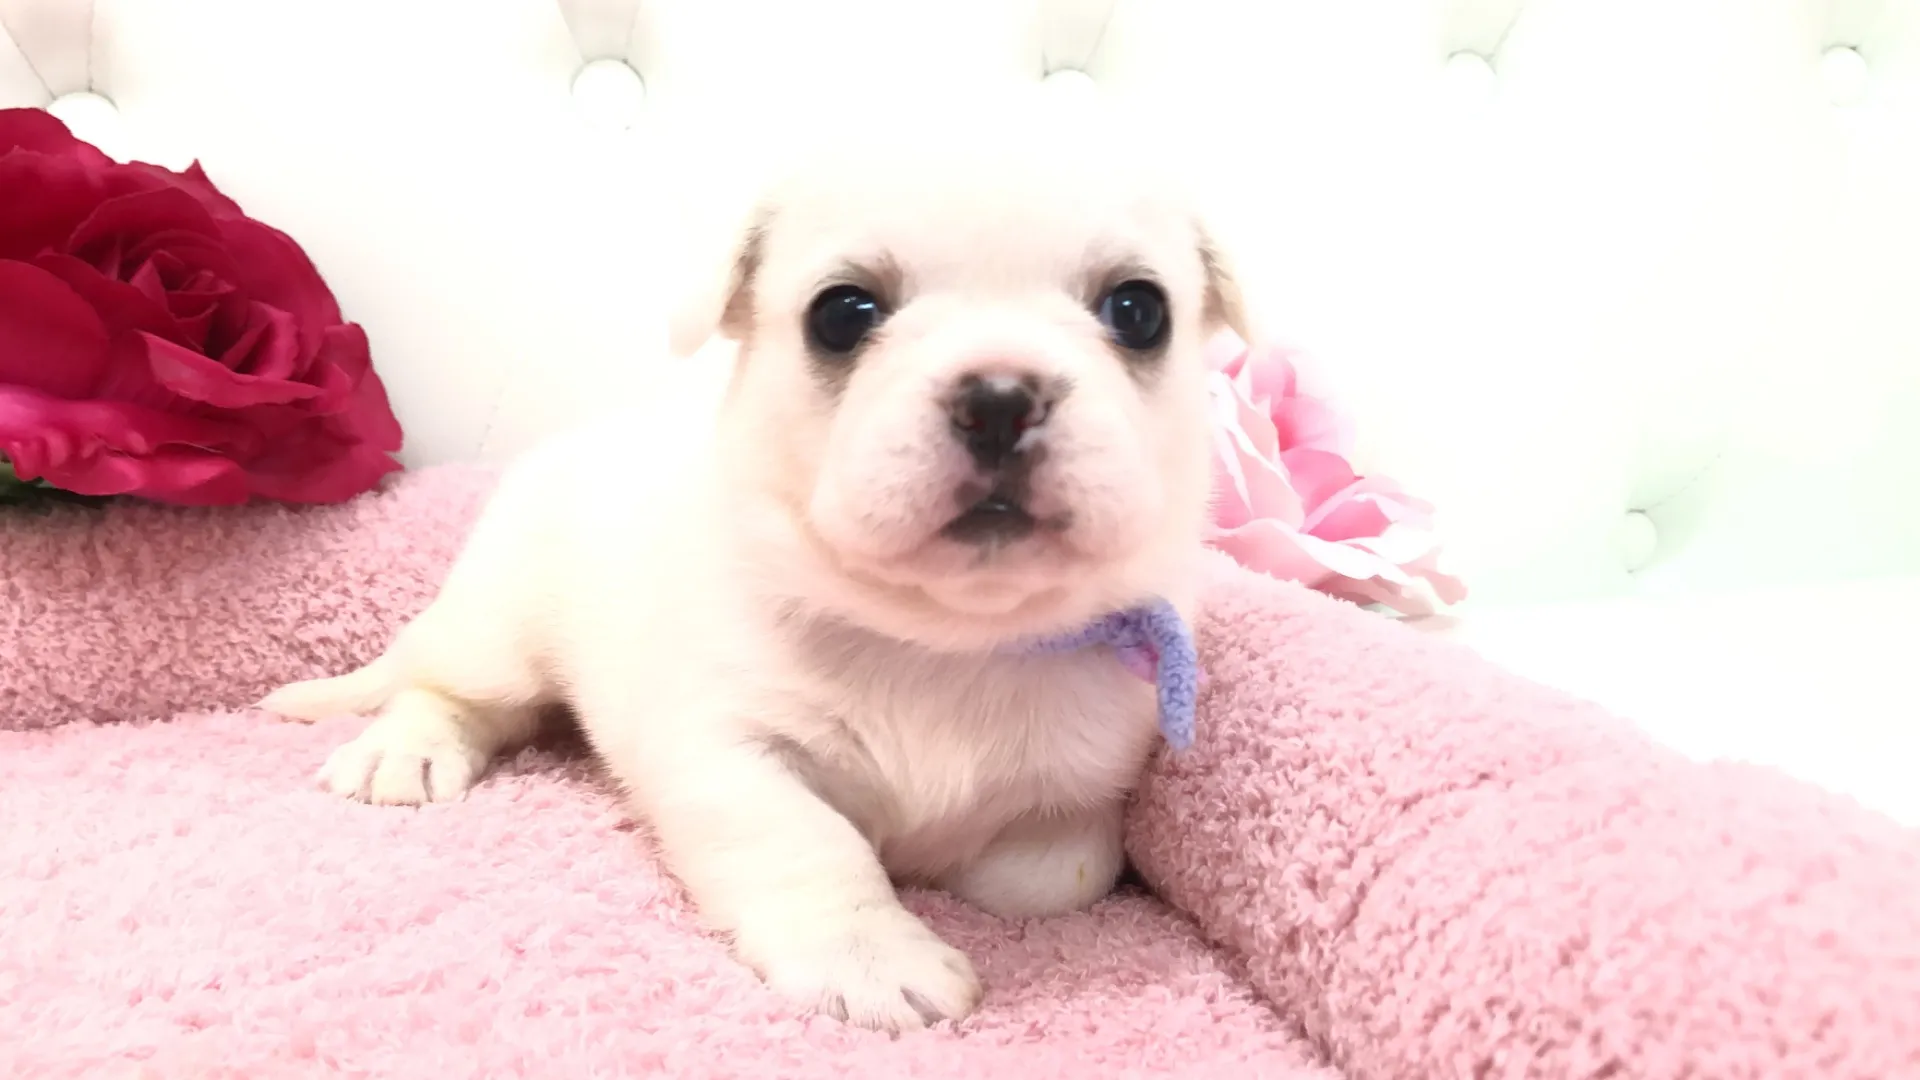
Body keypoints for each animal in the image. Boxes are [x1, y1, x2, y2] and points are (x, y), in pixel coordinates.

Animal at [262, 106, 1249, 1032]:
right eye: (843, 314)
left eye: (1138, 312)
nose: (1000, 397)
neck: (942, 640)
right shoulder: (725, 748)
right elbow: (810, 841)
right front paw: (873, 958)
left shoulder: (1083, 793)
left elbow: (1052, 875)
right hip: (499, 628)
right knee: (444, 691)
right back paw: (404, 753)